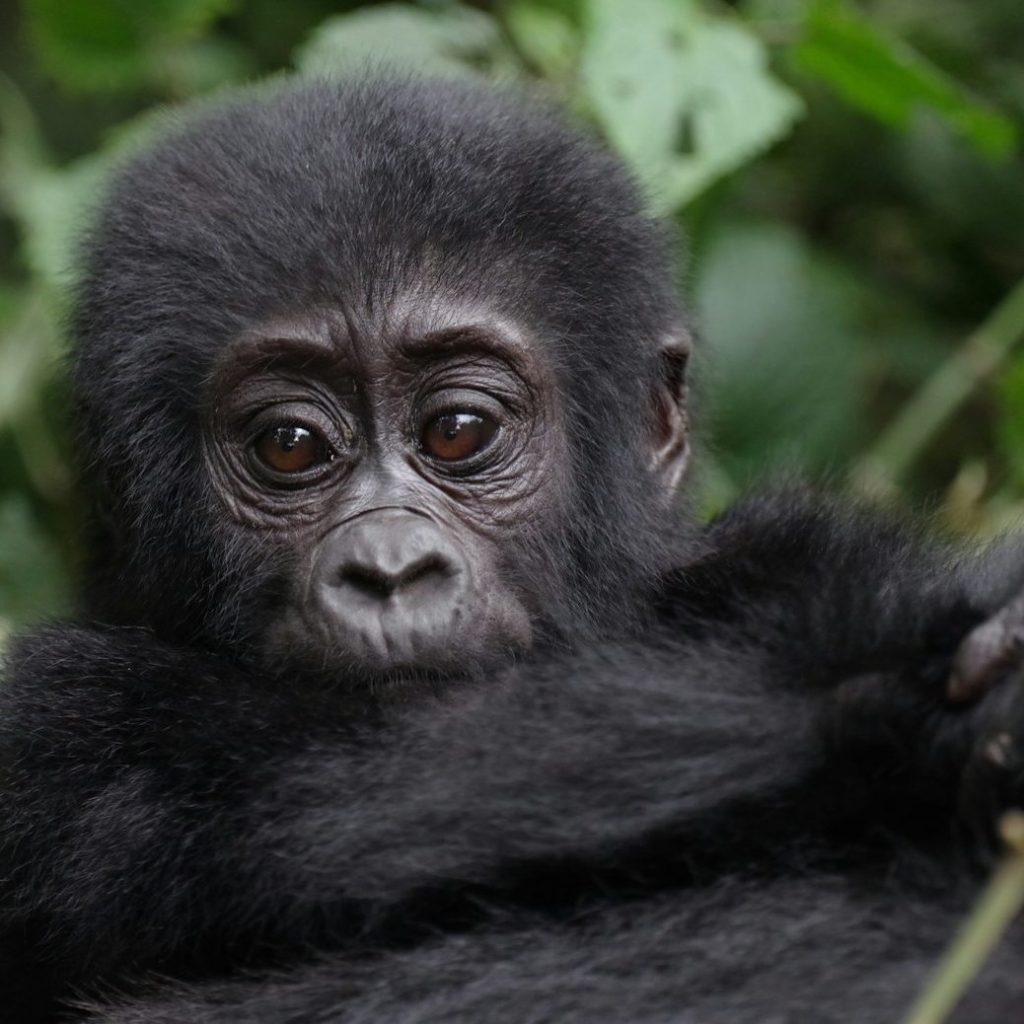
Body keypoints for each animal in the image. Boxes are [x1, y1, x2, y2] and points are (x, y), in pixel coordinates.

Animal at [2, 75, 1024, 1019]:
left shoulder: (770, 556)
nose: (389, 571)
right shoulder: (52, 724)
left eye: (458, 431)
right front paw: (883, 701)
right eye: (288, 446)